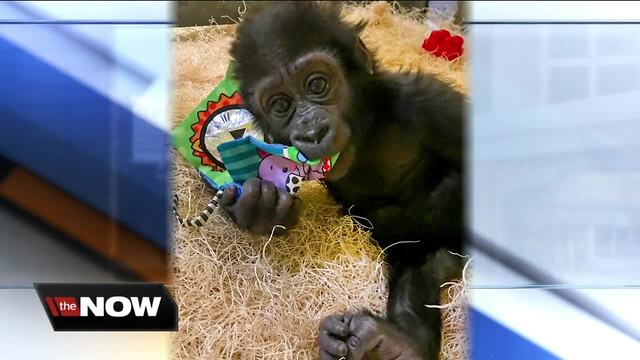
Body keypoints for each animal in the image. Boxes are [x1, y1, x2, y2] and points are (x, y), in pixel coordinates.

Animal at [225, 2, 464, 360]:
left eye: (317, 85)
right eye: (281, 105)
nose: (311, 130)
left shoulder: (429, 103)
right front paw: (263, 207)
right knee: (423, 266)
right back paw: (397, 343)